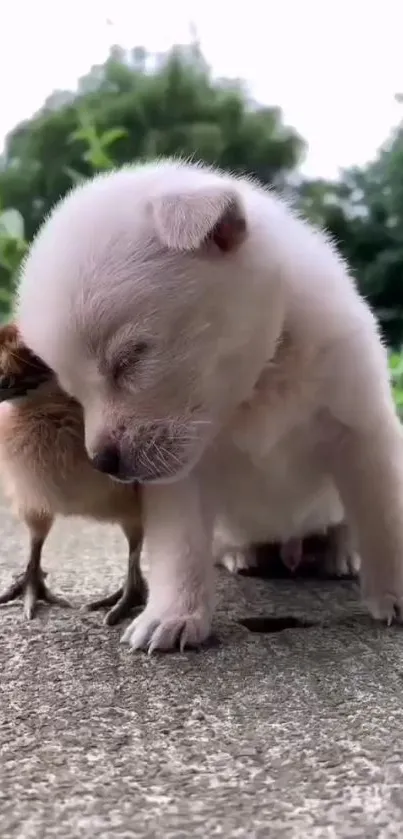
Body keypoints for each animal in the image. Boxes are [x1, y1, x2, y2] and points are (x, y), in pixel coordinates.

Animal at [15, 161, 403, 652]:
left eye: (130, 359)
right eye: (70, 390)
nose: (103, 463)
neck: (257, 385)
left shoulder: (365, 434)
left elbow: (385, 524)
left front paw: (394, 591)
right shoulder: (183, 479)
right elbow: (181, 547)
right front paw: (174, 616)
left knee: (341, 525)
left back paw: (338, 553)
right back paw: (241, 554)